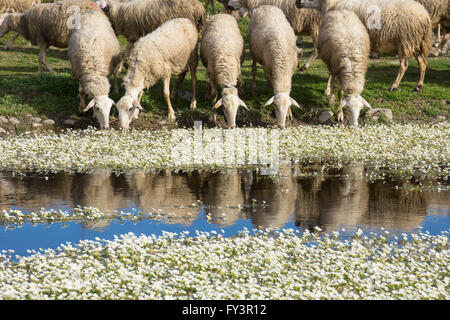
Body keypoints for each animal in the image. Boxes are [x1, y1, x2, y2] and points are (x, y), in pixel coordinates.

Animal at [298, 0, 434, 92]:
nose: (297, 3)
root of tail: (425, 15)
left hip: (405, 41)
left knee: (404, 65)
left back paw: (394, 86)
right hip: (415, 42)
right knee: (422, 63)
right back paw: (418, 86)